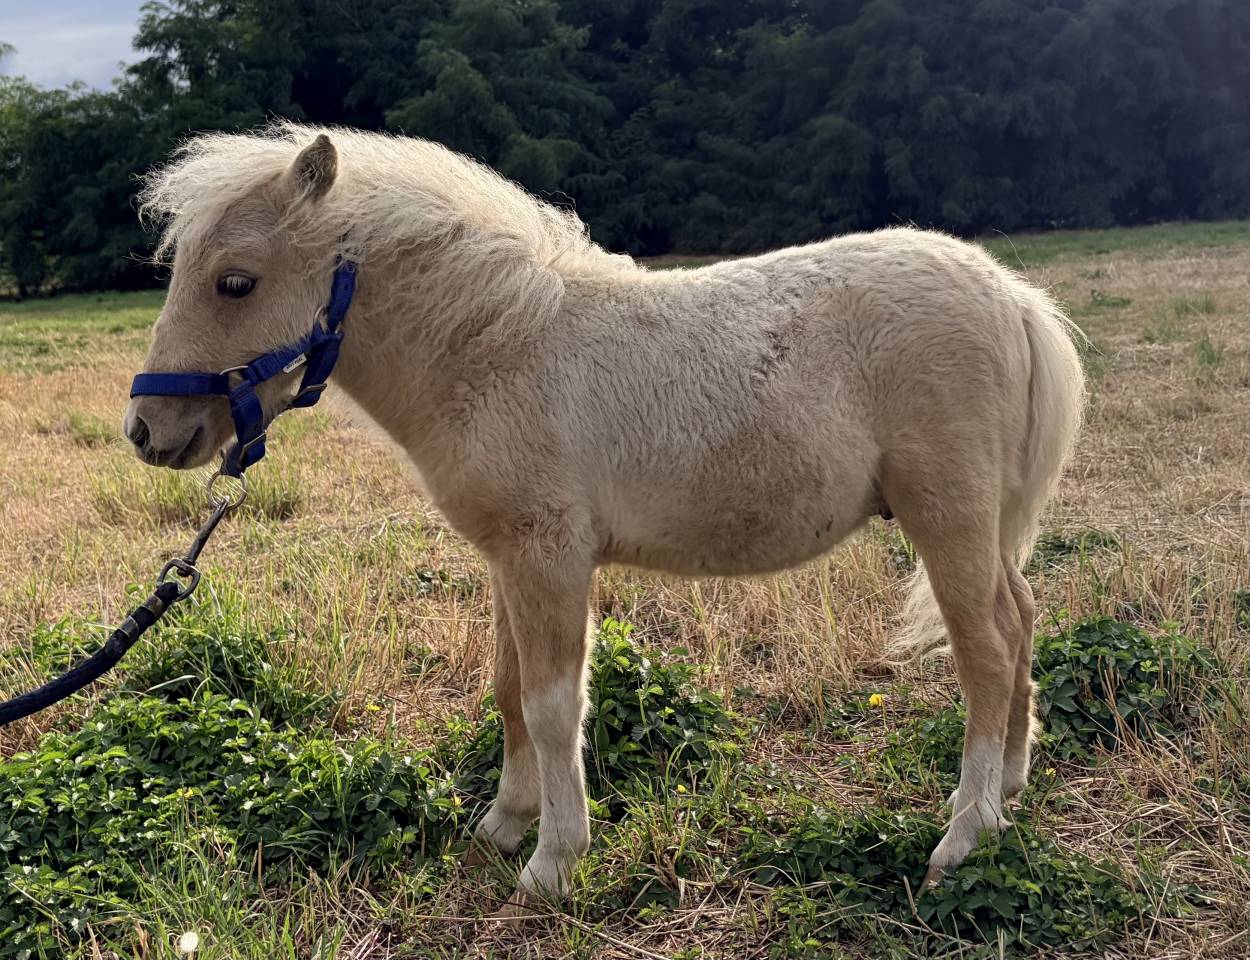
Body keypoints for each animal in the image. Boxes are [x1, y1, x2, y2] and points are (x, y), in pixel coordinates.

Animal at [124, 122, 1085, 913]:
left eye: (235, 282)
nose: (147, 431)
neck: (498, 350)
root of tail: (1012, 297)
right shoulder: (508, 558)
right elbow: (508, 688)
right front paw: (502, 824)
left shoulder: (550, 556)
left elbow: (554, 705)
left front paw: (552, 861)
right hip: (984, 527)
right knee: (1023, 622)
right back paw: (1007, 791)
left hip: (947, 513)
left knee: (987, 651)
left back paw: (964, 837)